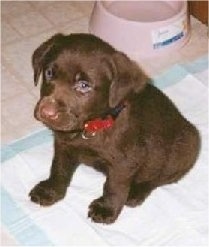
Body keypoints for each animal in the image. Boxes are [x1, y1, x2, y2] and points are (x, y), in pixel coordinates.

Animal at [30, 32, 200, 224]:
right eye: (49, 73)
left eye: (84, 85)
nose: (46, 112)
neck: (91, 127)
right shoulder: (63, 145)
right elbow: (58, 169)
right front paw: (50, 191)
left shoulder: (125, 162)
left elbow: (113, 186)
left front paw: (106, 209)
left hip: (186, 146)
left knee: (158, 178)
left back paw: (135, 193)